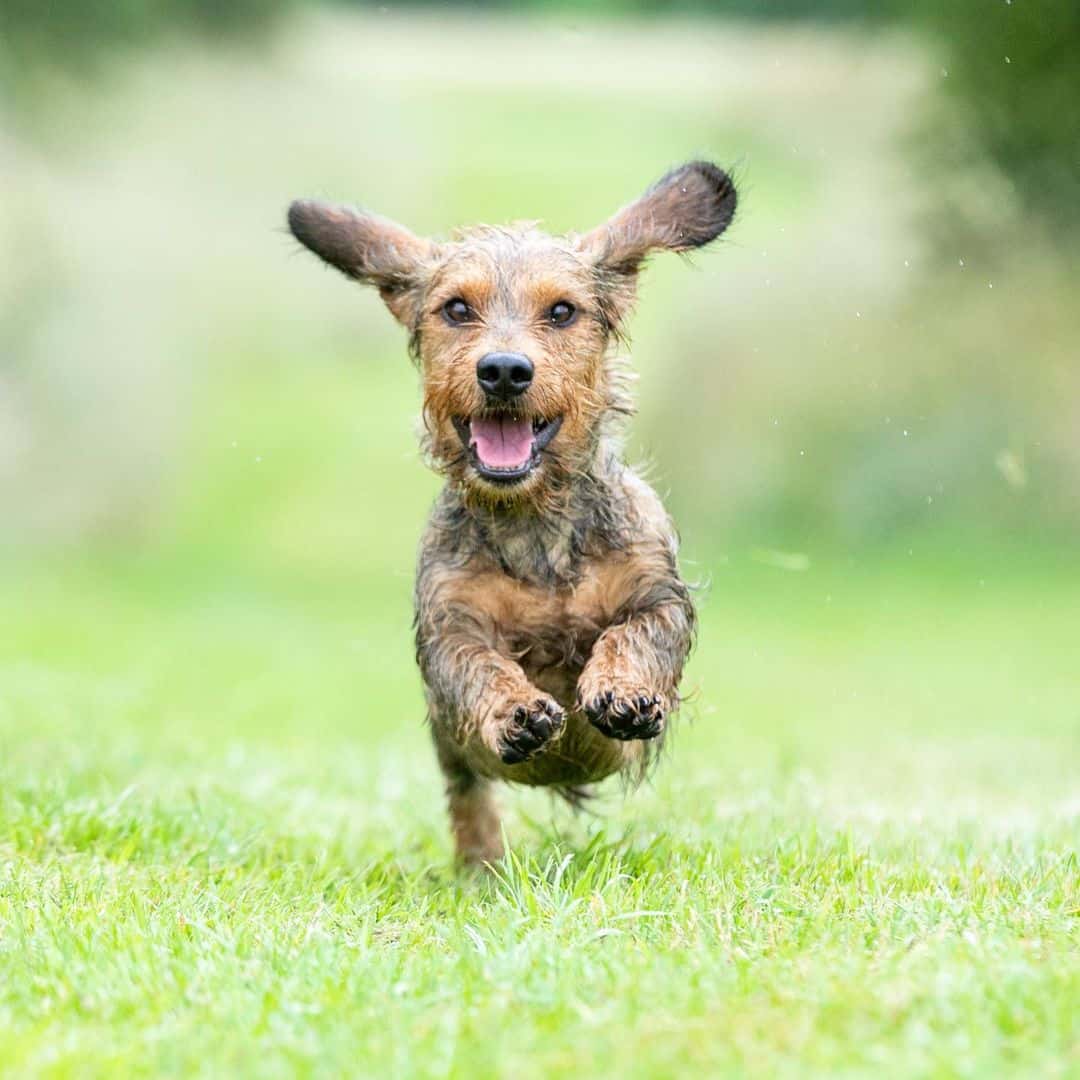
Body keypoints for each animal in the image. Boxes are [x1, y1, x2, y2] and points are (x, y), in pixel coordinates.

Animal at [287, 159, 738, 864]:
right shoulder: (449, 624)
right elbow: (478, 666)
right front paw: (515, 711)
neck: (534, 524)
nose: (503, 370)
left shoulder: (657, 592)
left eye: (562, 310)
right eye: (456, 308)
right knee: (469, 799)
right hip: (452, 757)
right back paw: (481, 865)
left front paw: (622, 689)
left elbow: (635, 632)